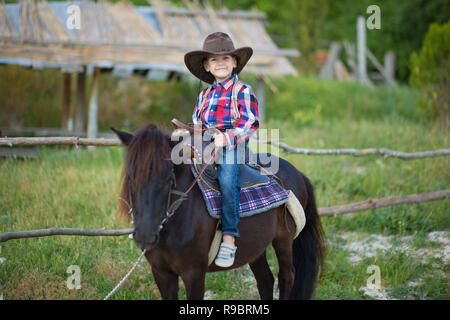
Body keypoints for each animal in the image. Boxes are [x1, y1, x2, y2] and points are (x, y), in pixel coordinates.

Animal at [110, 123, 326, 300]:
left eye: (169, 179)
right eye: (130, 177)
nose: (145, 236)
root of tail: (298, 174)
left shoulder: (194, 274)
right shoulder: (161, 273)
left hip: (284, 240)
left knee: (286, 277)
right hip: (257, 247)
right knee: (265, 280)